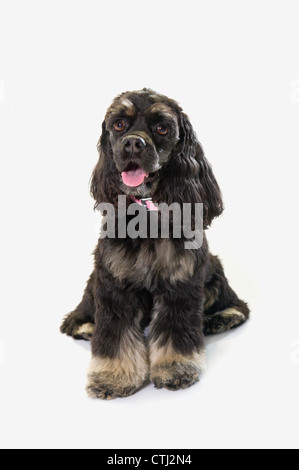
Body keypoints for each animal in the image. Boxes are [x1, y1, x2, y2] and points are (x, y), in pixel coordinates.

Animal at [61, 89, 251, 400]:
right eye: (119, 125)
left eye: (162, 128)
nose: (133, 143)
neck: (147, 215)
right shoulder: (114, 283)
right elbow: (115, 335)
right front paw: (112, 377)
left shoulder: (181, 282)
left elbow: (176, 332)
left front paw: (176, 368)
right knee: (74, 318)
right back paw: (87, 326)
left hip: (213, 267)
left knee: (238, 306)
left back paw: (217, 319)